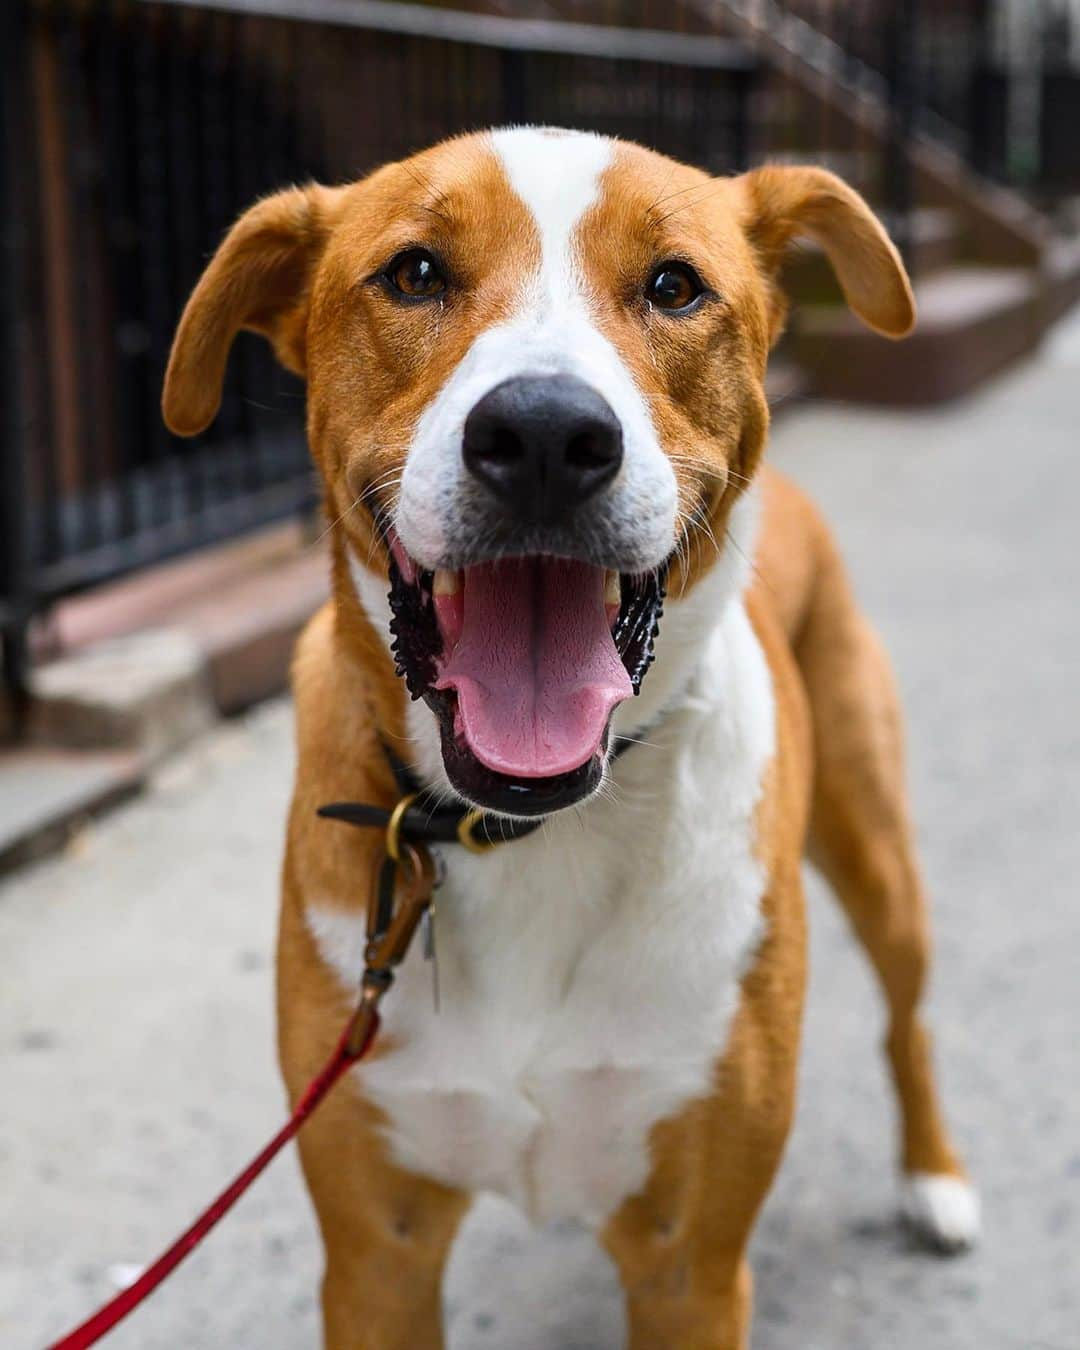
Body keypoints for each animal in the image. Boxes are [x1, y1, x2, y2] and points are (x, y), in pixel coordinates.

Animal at [162, 128, 977, 1350]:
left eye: (675, 286)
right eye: (414, 273)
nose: (545, 434)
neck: (525, 831)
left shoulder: (692, 1266)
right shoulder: (375, 1257)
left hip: (876, 850)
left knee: (909, 1018)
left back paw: (935, 1178)